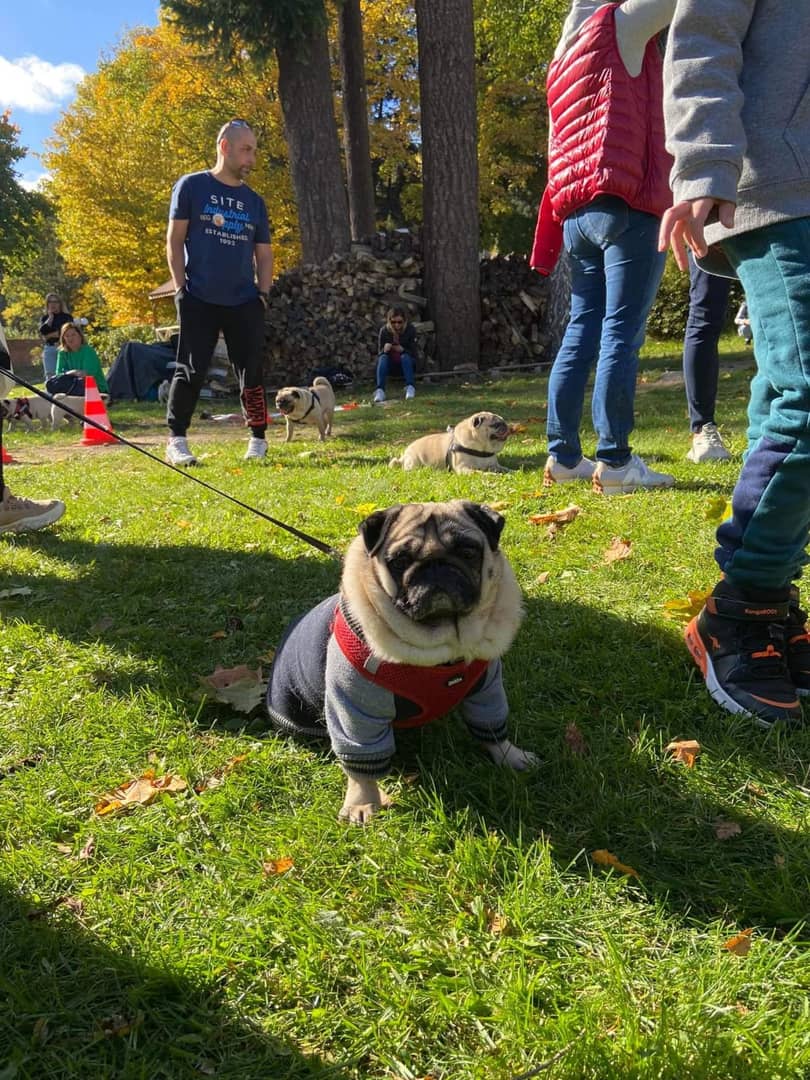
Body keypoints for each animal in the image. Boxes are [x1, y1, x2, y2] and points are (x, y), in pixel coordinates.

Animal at [266, 500, 537, 823]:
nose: (436, 566)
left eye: (468, 552)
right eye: (400, 561)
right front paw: (362, 802)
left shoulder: (487, 689)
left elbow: (492, 726)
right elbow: (360, 764)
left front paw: (509, 755)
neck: (444, 647)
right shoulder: (355, 708)